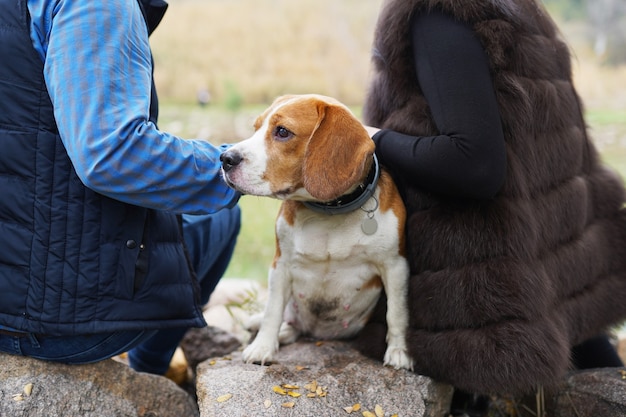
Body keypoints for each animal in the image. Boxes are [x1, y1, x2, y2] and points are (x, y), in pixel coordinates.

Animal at [222, 94, 412, 370]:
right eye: (256, 127)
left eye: (282, 132)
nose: (225, 158)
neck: (329, 211)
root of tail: (318, 333)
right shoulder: (281, 265)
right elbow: (272, 311)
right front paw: (263, 346)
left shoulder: (395, 265)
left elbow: (396, 313)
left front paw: (399, 351)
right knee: (289, 321)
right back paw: (282, 332)